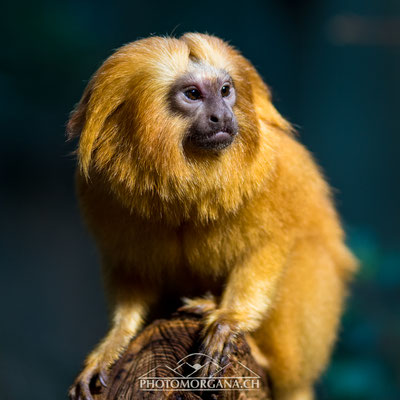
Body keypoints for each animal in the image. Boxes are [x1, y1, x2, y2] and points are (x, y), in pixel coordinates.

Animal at [67, 33, 358, 400]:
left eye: (225, 90)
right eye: (193, 94)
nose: (222, 115)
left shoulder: (275, 167)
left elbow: (272, 245)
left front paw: (229, 318)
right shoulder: (100, 190)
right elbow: (132, 271)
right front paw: (114, 342)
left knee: (308, 252)